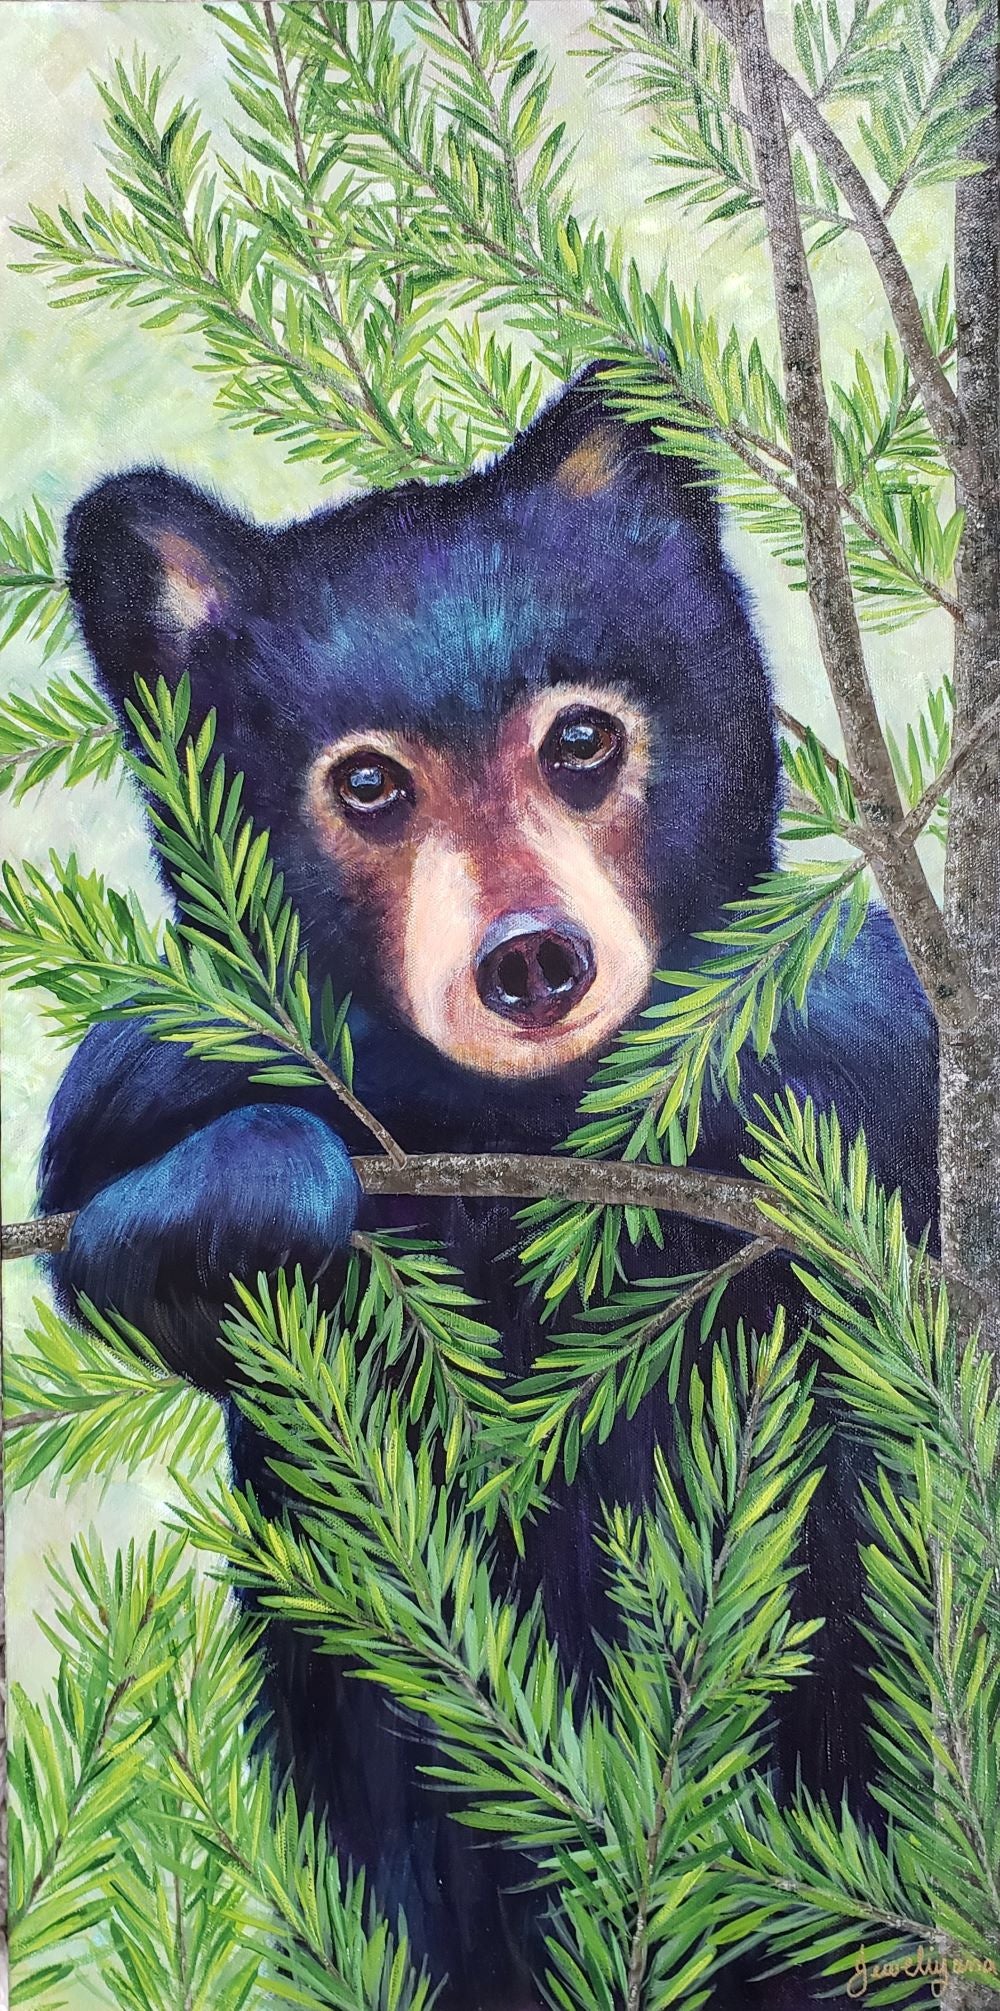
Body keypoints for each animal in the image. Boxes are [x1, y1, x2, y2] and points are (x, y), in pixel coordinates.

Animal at [40, 370, 938, 2009]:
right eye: (367, 780)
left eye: (580, 737)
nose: (530, 960)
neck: (534, 1130)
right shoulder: (150, 1080)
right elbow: (127, 1220)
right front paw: (246, 1188)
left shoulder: (870, 1076)